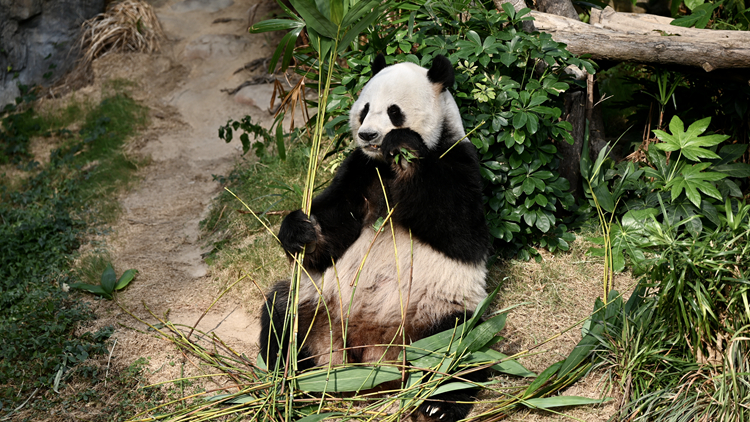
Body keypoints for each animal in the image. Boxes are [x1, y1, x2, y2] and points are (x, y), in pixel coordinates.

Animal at [262, 54, 490, 420]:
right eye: (365, 109)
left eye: (394, 111)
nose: (368, 134)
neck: (385, 164)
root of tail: (371, 353)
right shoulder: (361, 170)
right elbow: (334, 227)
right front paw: (300, 231)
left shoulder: (457, 158)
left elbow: (460, 232)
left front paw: (405, 150)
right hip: (317, 304)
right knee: (282, 319)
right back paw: (290, 387)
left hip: (436, 309)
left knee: (458, 344)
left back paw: (437, 404)